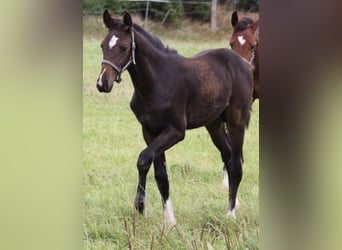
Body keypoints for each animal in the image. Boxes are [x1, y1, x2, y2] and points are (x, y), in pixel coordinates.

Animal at [96, 9, 254, 225]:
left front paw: (140, 206)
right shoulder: (150, 131)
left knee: (237, 163)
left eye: (123, 47)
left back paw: (230, 215)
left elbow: (143, 159)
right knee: (228, 156)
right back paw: (235, 203)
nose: (102, 83)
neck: (156, 81)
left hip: (236, 120)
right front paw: (168, 220)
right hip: (214, 125)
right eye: (103, 45)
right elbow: (160, 174)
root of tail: (243, 63)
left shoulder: (175, 131)